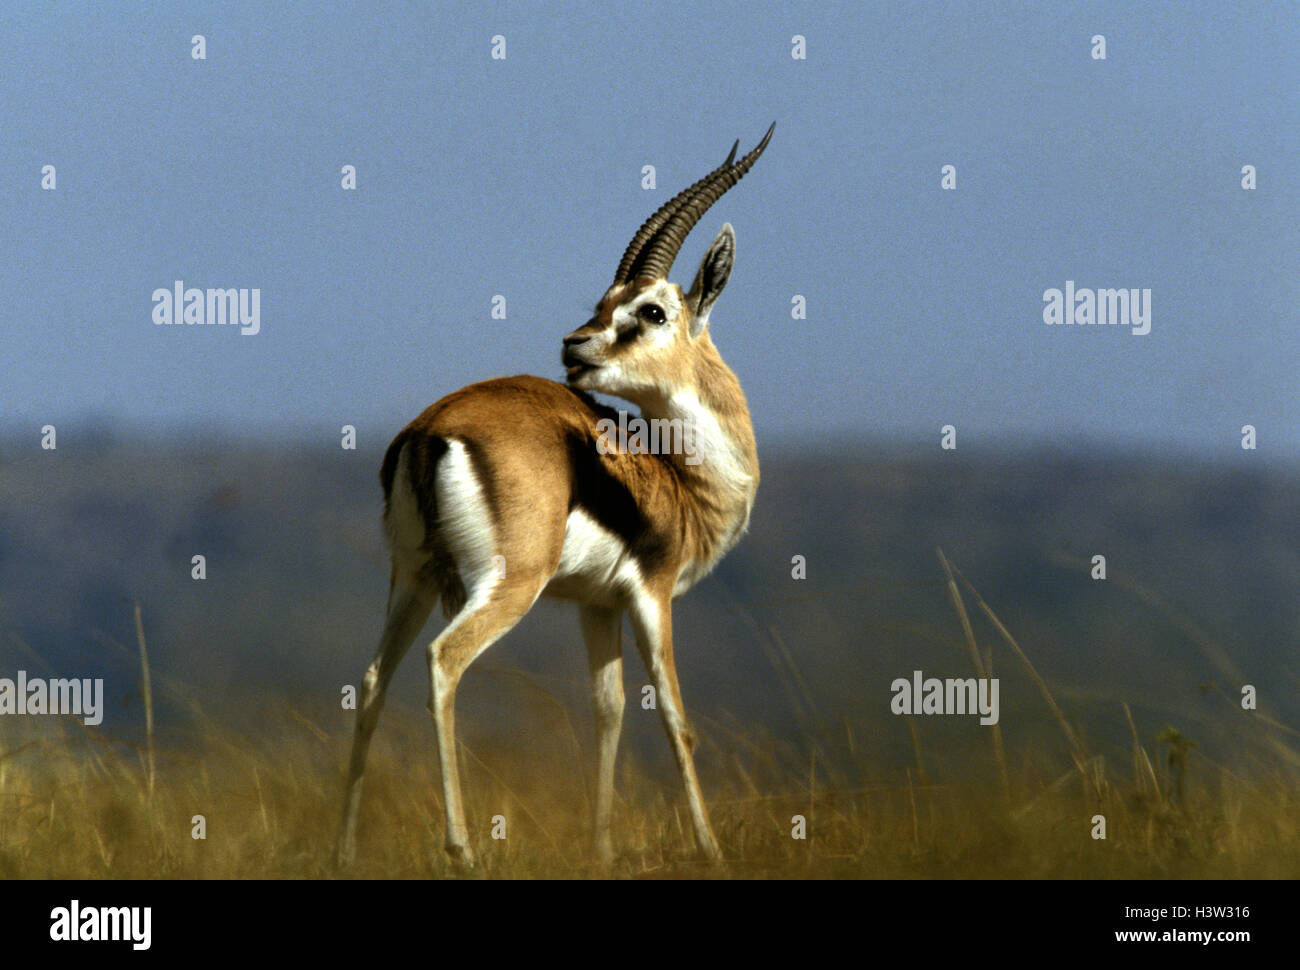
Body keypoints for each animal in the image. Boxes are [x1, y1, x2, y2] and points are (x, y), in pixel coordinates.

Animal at [338, 124, 774, 869]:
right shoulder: (652, 593)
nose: (574, 345)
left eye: (648, 310)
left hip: (413, 578)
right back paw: (462, 849)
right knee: (443, 662)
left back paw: (343, 852)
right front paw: (711, 850)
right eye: (610, 304)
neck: (678, 477)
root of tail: (430, 428)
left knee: (371, 681)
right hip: (509, 583)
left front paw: (601, 851)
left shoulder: (597, 605)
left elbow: (609, 708)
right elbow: (676, 718)